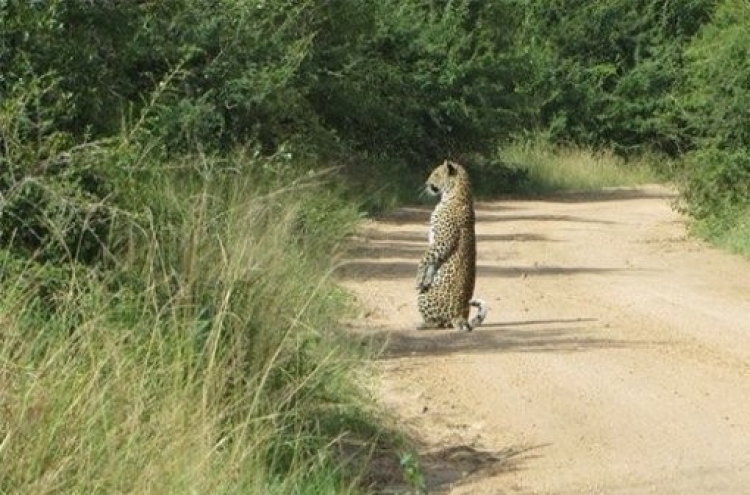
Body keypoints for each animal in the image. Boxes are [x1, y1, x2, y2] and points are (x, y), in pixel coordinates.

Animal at [414, 161, 490, 332]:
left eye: (436, 174)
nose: (426, 183)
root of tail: (460, 316)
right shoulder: (436, 243)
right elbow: (431, 262)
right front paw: (426, 277)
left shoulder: (442, 242)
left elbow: (424, 258)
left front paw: (418, 278)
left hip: (424, 297)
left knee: (438, 323)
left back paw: (422, 324)